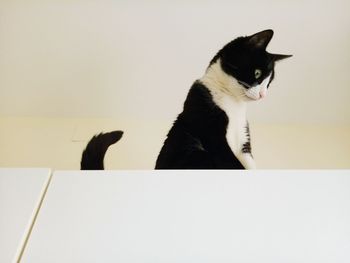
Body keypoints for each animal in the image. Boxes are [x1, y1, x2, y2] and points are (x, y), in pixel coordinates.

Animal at [80, 29, 292, 171]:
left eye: (269, 83)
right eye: (257, 74)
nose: (264, 95)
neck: (234, 105)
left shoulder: (243, 141)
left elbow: (249, 164)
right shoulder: (211, 132)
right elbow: (232, 163)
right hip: (196, 154)